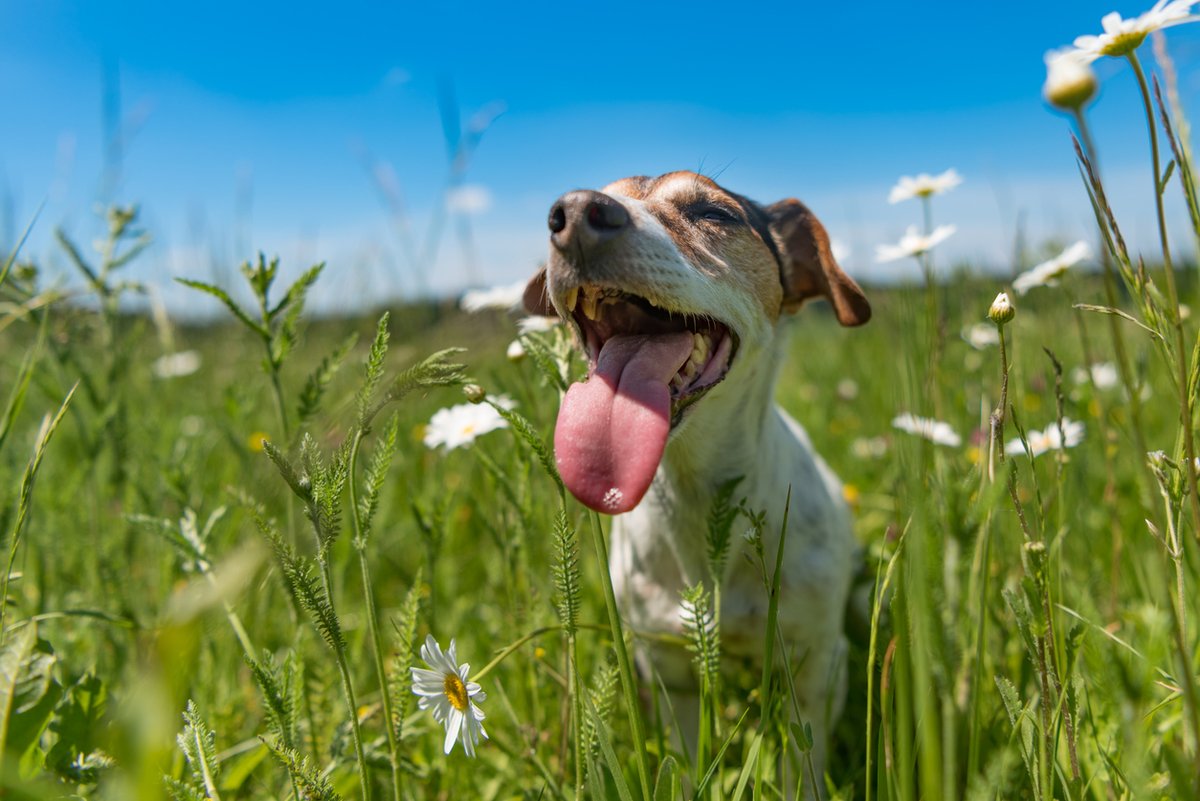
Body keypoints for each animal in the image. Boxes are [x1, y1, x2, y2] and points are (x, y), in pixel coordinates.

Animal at [520, 172, 868, 791]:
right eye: (559, 212)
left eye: (713, 213)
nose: (575, 213)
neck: (697, 495)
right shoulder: (670, 673)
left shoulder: (814, 669)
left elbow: (803, 765)